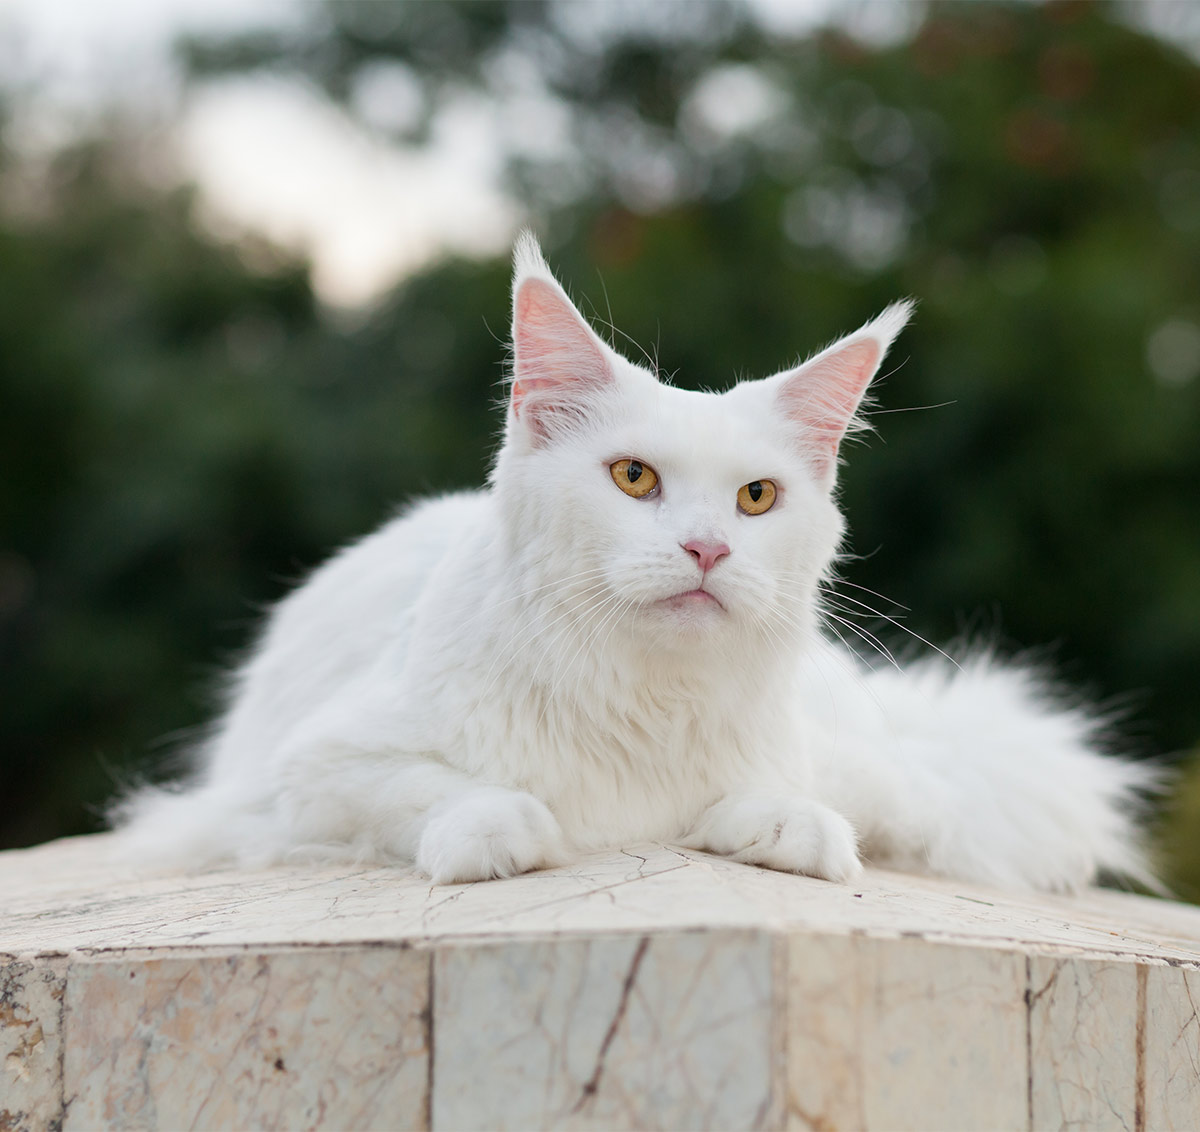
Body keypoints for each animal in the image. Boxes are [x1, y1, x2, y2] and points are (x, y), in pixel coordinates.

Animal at [117, 234, 1156, 893]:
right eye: (633, 477)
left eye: (756, 499)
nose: (708, 548)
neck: (643, 703)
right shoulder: (299, 779)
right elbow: (434, 791)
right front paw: (504, 828)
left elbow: (780, 804)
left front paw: (783, 828)